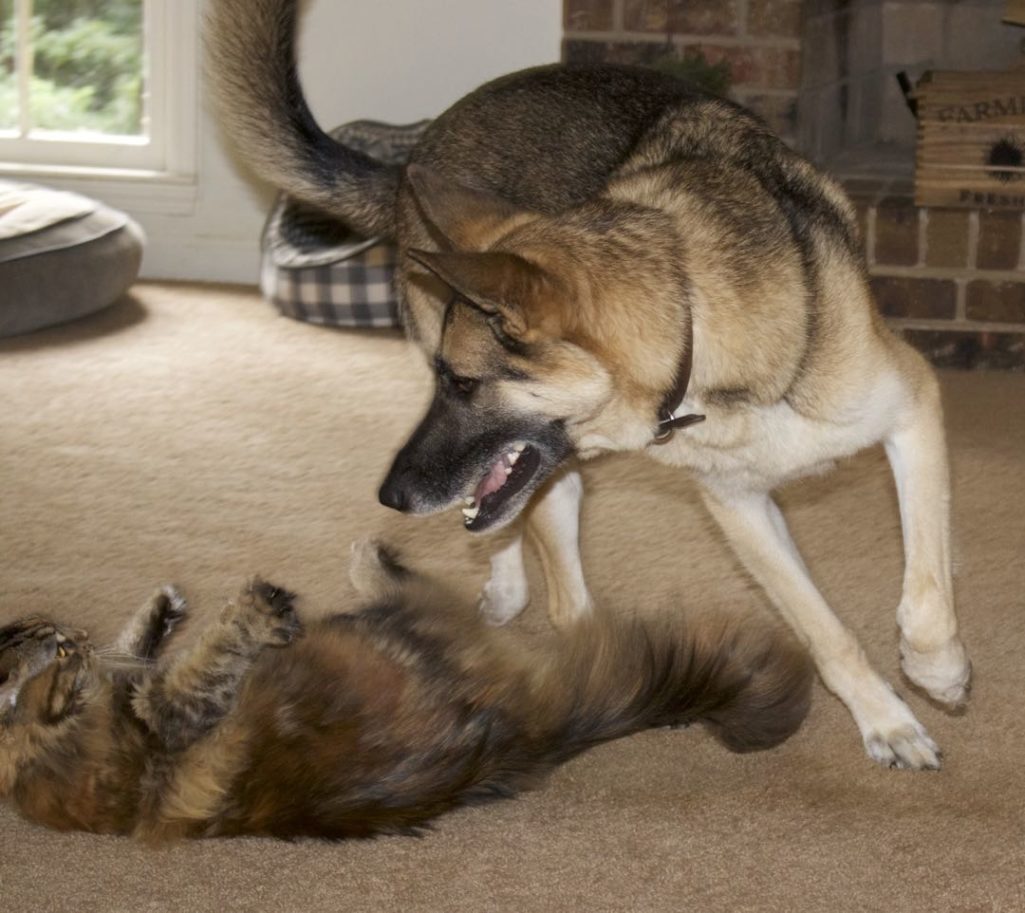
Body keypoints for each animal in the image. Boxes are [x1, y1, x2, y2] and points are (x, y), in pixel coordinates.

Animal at [2, 541, 807, 844]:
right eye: (40, 646)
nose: (62, 632)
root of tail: (532, 736)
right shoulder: (165, 715)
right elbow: (205, 659)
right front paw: (250, 610)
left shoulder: (141, 685)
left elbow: (143, 644)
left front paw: (161, 610)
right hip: (397, 627)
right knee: (413, 586)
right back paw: (367, 560)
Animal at [206, 0, 967, 770]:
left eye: (462, 381)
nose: (390, 496)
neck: (696, 326)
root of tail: (418, 153)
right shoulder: (737, 504)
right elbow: (824, 628)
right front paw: (887, 718)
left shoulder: (911, 409)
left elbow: (925, 581)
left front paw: (933, 669)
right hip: (549, 474)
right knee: (559, 593)